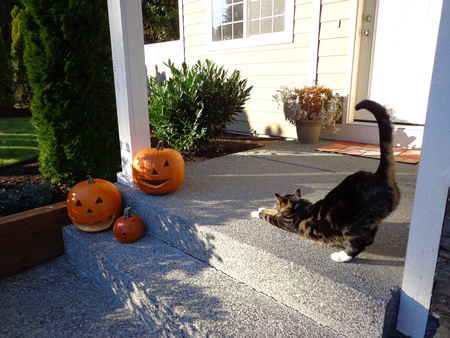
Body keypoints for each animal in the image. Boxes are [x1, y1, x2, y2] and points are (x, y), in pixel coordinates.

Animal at [250, 99, 400, 262]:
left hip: (354, 224)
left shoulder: (282, 221)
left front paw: (257, 212)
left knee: (362, 242)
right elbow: (270, 211)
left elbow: (268, 216)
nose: (275, 204)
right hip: (371, 222)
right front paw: (261, 208)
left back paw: (341, 256)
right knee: (370, 238)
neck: (297, 205)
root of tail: (379, 175)